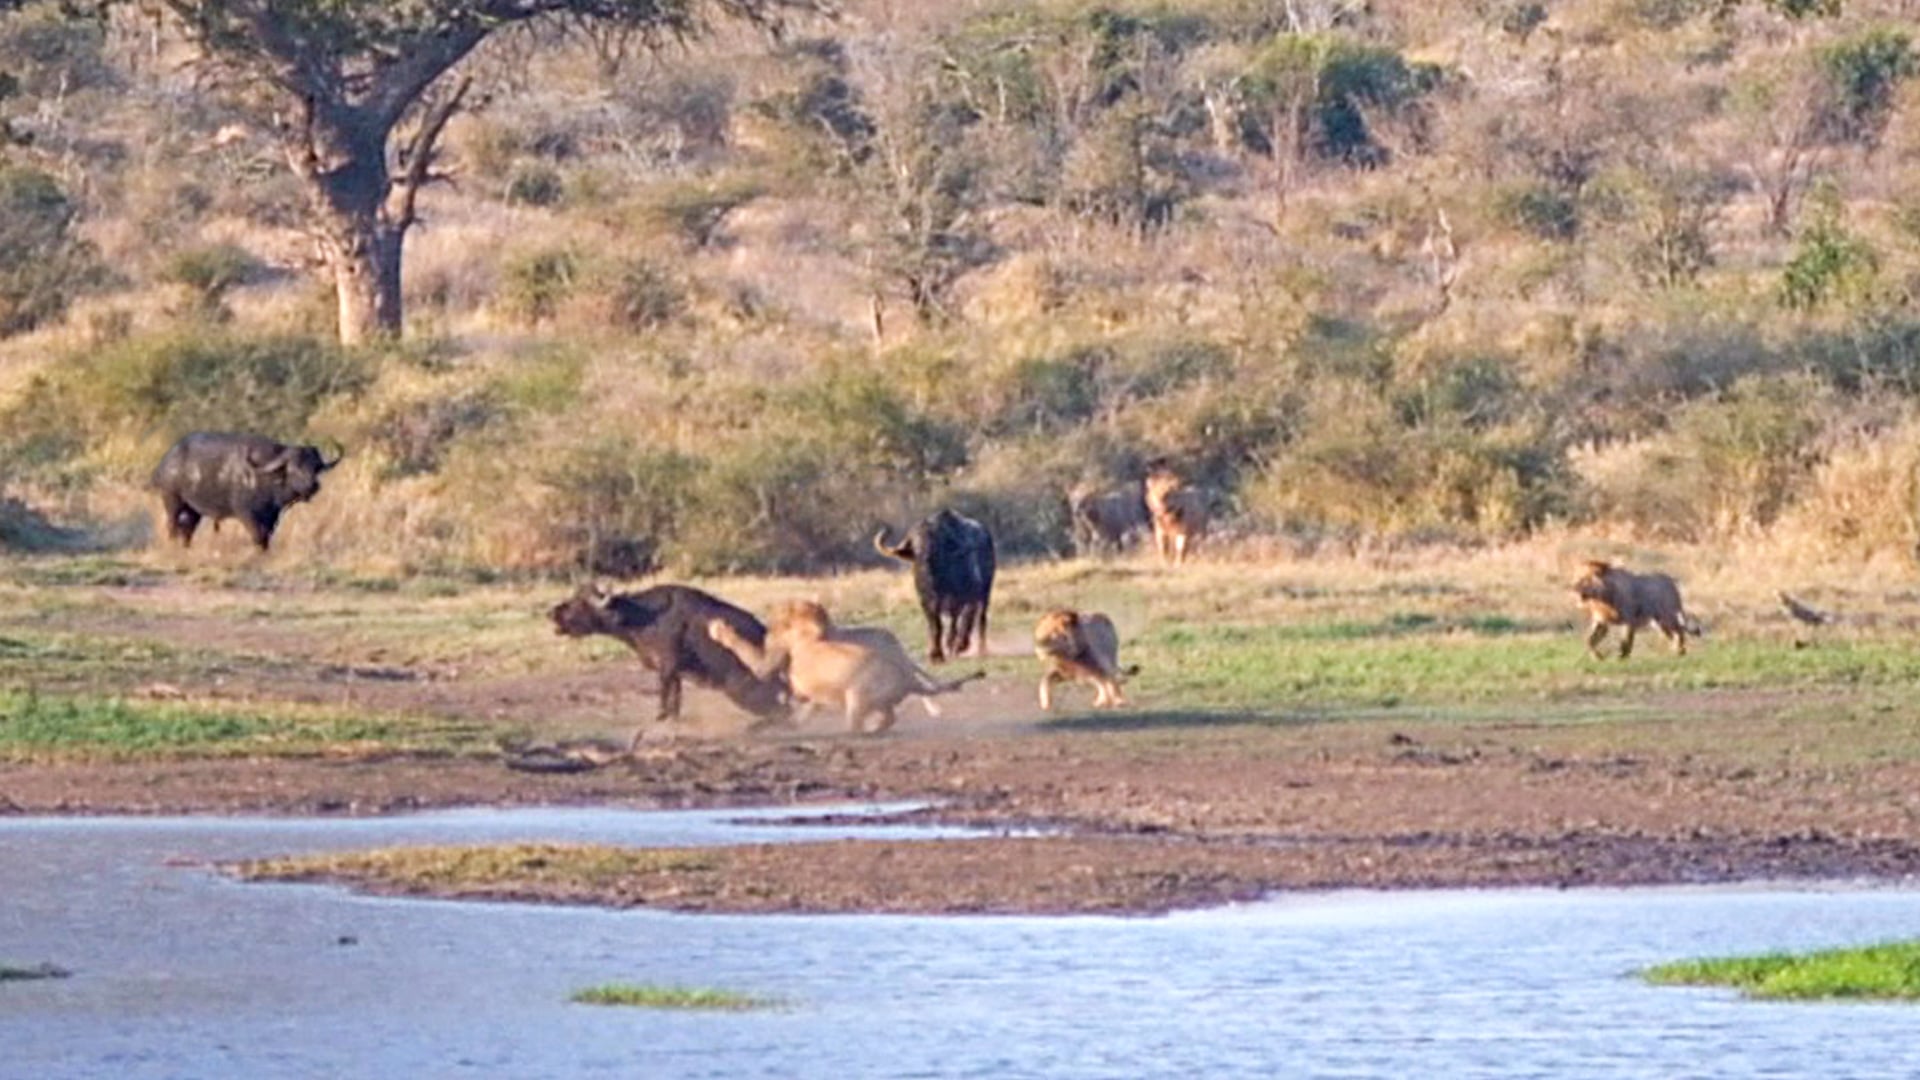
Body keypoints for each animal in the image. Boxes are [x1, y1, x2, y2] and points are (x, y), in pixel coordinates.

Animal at [150, 432, 341, 552]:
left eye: (315, 467)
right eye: (294, 468)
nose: (313, 485)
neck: (267, 480)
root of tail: (166, 460)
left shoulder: (272, 516)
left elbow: (266, 538)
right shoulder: (246, 514)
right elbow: (258, 536)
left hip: (194, 510)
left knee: (187, 529)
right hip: (172, 500)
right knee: (172, 525)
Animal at [548, 583, 788, 745]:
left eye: (580, 604)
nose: (551, 613)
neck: (642, 617)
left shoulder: (667, 667)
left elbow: (665, 705)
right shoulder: (676, 675)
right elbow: (675, 707)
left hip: (739, 691)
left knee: (781, 713)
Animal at [707, 600, 982, 734]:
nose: (771, 617)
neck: (813, 630)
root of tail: (905, 676)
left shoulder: (772, 656)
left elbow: (753, 659)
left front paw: (719, 628)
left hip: (858, 696)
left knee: (862, 722)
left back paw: (862, 731)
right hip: (880, 694)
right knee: (890, 717)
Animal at [874, 509, 996, 663]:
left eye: (935, 545)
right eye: (914, 545)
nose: (923, 560)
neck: (936, 581)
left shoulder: (960, 597)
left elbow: (957, 620)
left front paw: (954, 644)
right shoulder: (926, 601)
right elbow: (935, 624)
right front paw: (935, 653)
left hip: (985, 591)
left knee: (980, 618)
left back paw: (978, 648)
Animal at [1572, 559, 1704, 659]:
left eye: (1584, 580)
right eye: (1576, 578)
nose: (1573, 587)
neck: (1601, 599)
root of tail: (1671, 580)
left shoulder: (1629, 620)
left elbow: (1626, 641)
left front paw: (1622, 658)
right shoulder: (1601, 622)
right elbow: (1589, 641)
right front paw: (1598, 657)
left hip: (1668, 616)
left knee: (1680, 631)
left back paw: (1680, 651)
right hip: (1659, 623)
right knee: (1674, 634)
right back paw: (1677, 652)